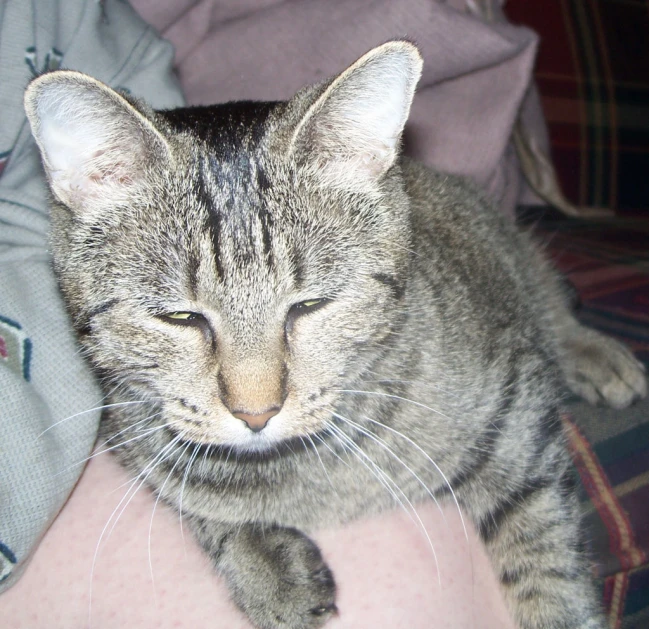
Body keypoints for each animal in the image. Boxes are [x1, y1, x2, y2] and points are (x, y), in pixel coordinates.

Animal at [24, 41, 644, 624]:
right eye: (180, 318)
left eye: (310, 306)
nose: (256, 413)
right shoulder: (127, 434)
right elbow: (200, 504)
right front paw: (266, 568)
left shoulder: (517, 423)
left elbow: (549, 571)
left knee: (544, 288)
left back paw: (594, 352)